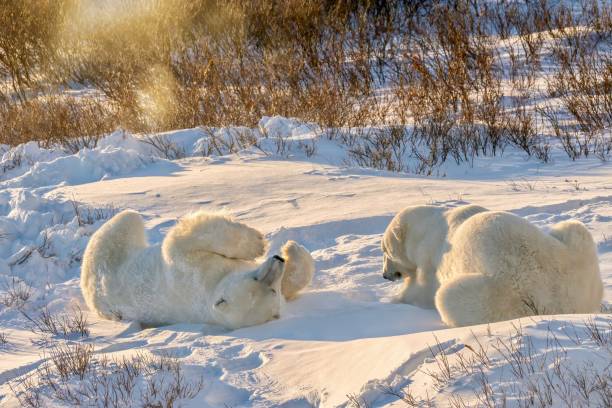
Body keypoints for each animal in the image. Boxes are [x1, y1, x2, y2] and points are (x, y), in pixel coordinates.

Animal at [81, 210, 316, 328]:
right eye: (256, 280)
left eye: (272, 291)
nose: (278, 260)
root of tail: (91, 299)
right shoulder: (193, 274)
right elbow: (177, 245)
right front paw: (259, 243)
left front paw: (289, 249)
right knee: (127, 219)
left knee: (125, 220)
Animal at [382, 206, 604, 326]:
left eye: (385, 251)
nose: (385, 275)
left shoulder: (430, 259)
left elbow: (422, 292)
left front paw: (393, 300)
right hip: (577, 258)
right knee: (573, 228)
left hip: (500, 297)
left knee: (446, 298)